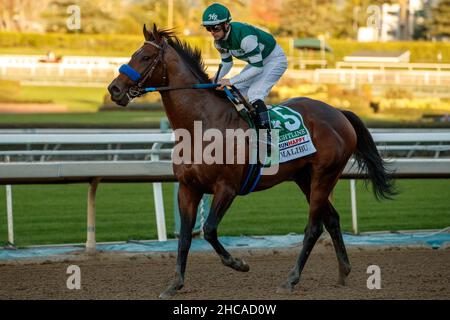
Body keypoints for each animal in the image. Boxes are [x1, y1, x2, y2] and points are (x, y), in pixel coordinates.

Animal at [108, 24, 394, 298]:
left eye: (145, 57)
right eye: (133, 54)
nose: (114, 89)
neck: (201, 126)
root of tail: (338, 112)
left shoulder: (227, 187)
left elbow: (209, 229)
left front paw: (238, 263)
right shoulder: (188, 188)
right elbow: (186, 237)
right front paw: (175, 284)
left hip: (325, 174)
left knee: (314, 227)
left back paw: (291, 280)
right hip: (305, 177)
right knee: (332, 219)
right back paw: (343, 271)